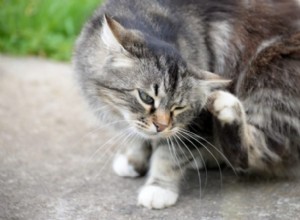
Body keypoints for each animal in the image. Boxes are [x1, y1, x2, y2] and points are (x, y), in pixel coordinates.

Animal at [74, 0, 300, 210]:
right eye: (146, 97)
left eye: (178, 107)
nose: (161, 126)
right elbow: (137, 139)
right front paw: (134, 161)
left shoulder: (195, 123)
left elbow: (169, 156)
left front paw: (159, 188)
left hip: (269, 80)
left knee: (256, 154)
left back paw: (225, 108)